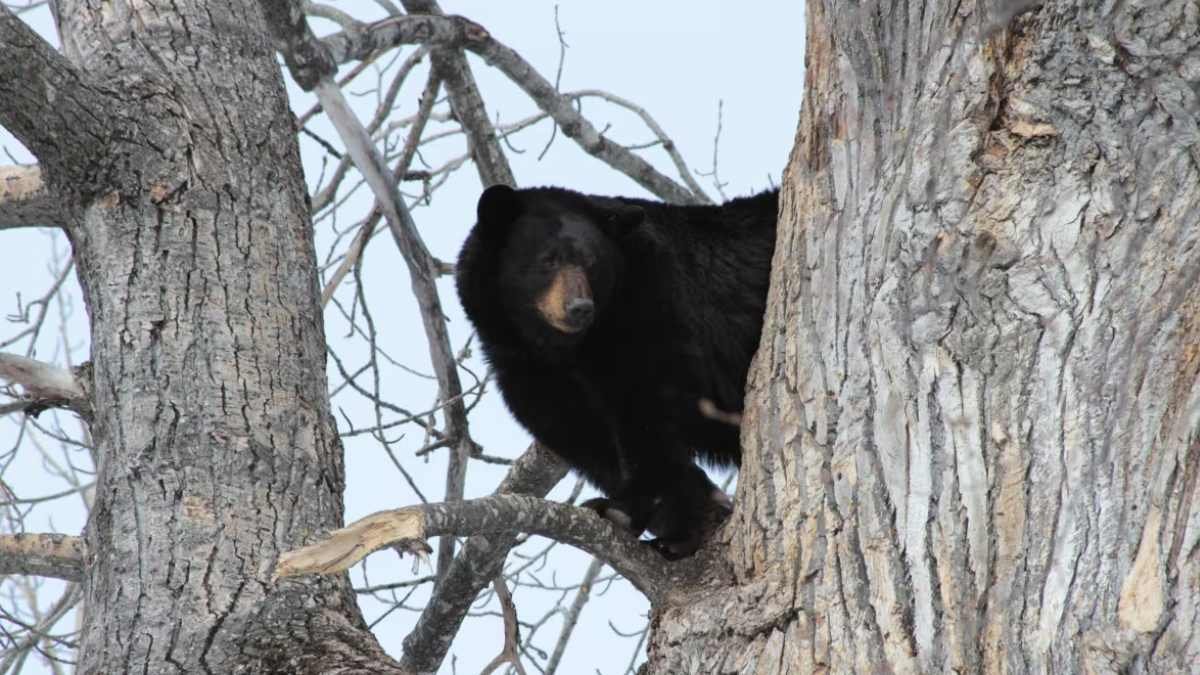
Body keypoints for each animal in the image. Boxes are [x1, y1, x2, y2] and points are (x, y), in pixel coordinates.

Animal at [456, 184, 778, 558]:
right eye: (548, 259)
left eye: (592, 262)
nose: (579, 308)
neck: (569, 348)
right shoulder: (528, 369)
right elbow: (581, 434)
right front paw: (686, 525)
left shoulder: (649, 308)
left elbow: (646, 408)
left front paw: (622, 509)